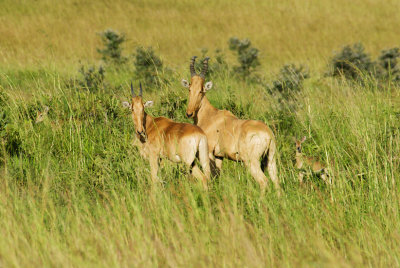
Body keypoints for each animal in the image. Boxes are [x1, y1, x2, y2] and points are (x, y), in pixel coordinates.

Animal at [181, 56, 278, 191]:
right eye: (189, 89)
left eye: (201, 90)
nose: (189, 113)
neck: (211, 116)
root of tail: (268, 134)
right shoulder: (219, 156)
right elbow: (217, 175)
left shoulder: (209, 152)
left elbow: (209, 175)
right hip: (271, 159)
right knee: (276, 181)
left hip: (251, 162)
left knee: (264, 181)